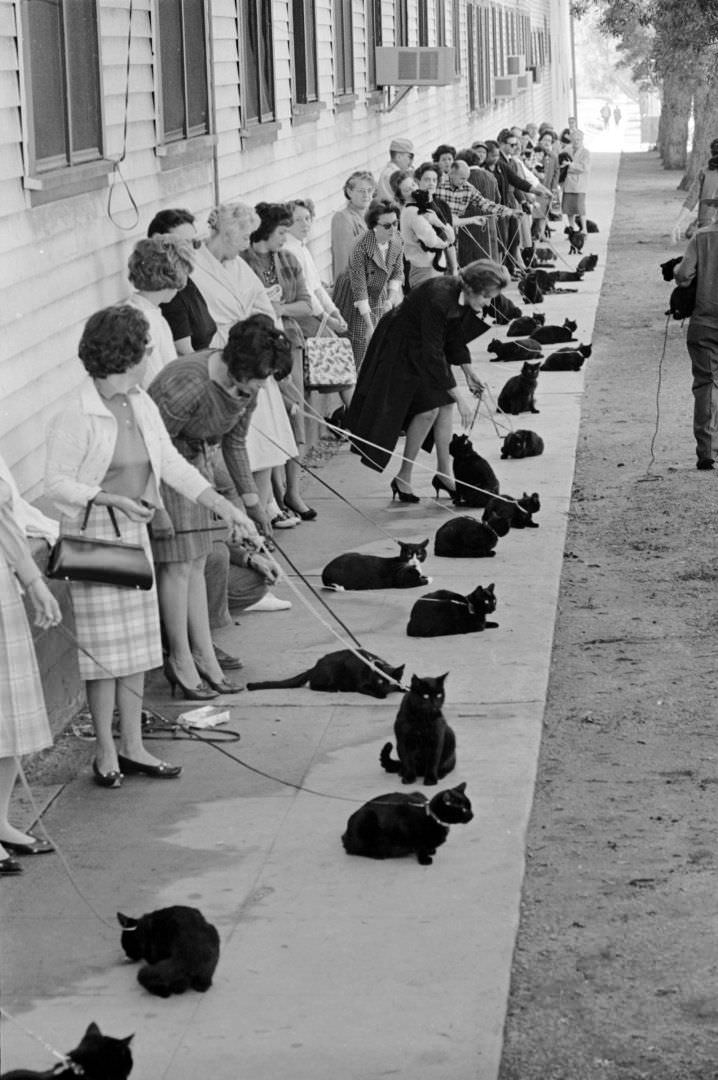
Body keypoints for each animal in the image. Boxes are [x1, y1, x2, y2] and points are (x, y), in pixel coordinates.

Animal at [246, 643, 403, 695]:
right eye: (380, 682)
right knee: (313, 685)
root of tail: (313, 667)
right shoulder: (361, 685)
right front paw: (381, 695)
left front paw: (403, 688)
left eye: (391, 683)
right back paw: (333, 689)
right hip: (330, 671)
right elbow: (372, 691)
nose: (385, 689)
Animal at [341, 781, 472, 864]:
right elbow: (420, 846)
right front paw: (424, 859)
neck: (432, 817)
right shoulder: (406, 826)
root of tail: (345, 834)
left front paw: (431, 850)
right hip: (366, 819)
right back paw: (378, 854)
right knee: (352, 849)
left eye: (470, 807)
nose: (472, 815)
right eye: (464, 809)